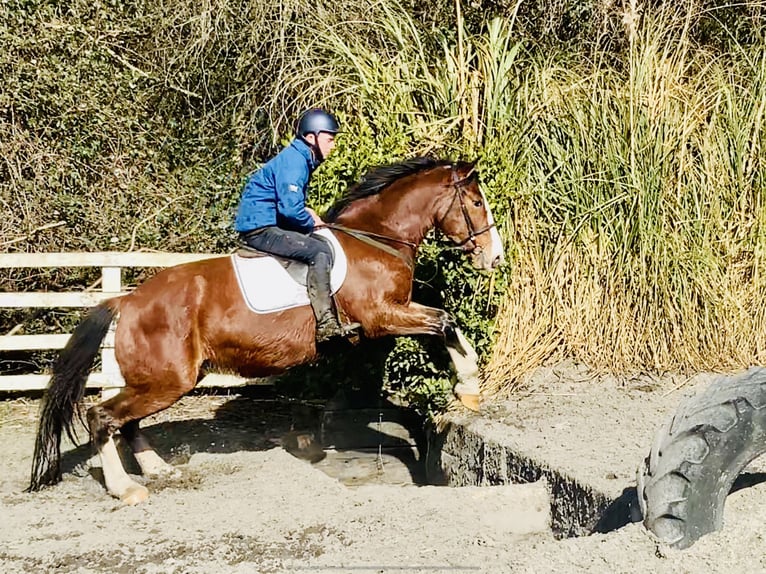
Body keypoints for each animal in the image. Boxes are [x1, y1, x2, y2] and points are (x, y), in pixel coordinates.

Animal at [30, 156, 508, 504]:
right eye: (477, 204)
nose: (495, 257)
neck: (375, 239)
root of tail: (126, 301)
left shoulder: (394, 314)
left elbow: (443, 322)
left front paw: (467, 388)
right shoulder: (381, 316)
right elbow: (445, 321)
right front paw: (469, 384)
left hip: (165, 379)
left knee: (126, 421)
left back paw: (157, 469)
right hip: (167, 379)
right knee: (102, 416)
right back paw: (126, 488)